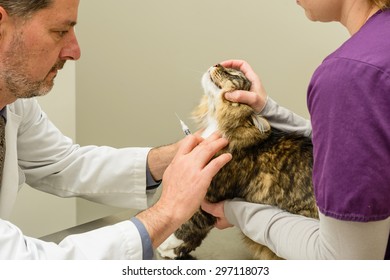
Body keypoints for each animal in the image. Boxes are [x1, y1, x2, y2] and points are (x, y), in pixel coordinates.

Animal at [156, 64, 316, 260]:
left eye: (234, 74)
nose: (217, 64)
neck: (217, 125)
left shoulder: (208, 193)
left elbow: (188, 222)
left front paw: (166, 246)